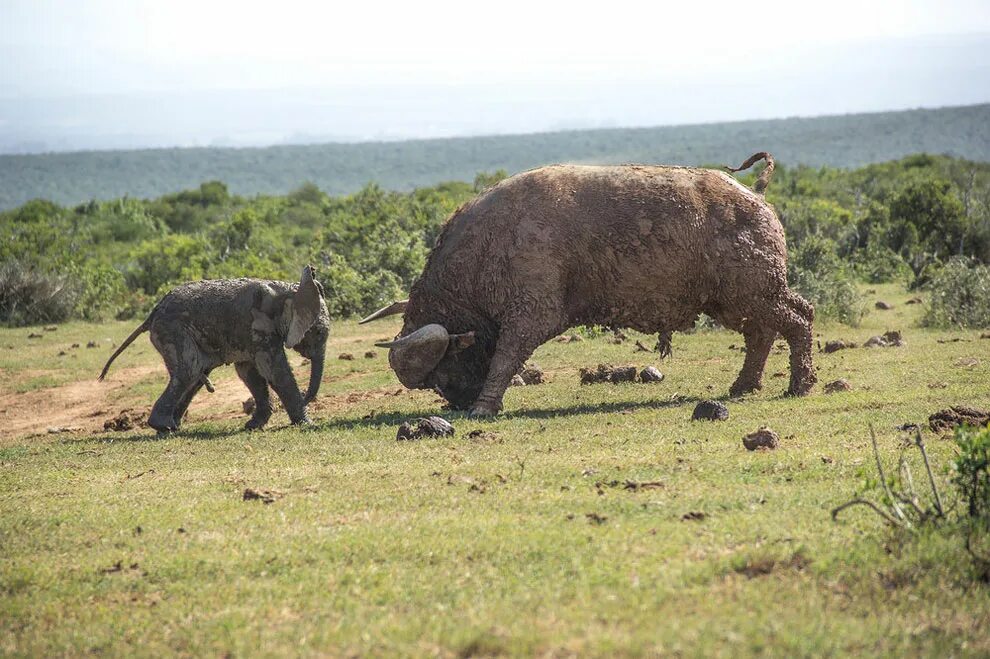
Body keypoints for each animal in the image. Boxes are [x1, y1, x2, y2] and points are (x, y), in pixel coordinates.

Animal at [362, 152, 812, 416]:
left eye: (440, 375)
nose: (458, 404)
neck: (488, 246)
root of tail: (756, 197)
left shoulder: (531, 314)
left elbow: (506, 358)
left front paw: (485, 407)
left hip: (754, 291)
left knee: (799, 318)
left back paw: (800, 385)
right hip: (735, 300)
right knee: (762, 332)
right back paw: (743, 386)